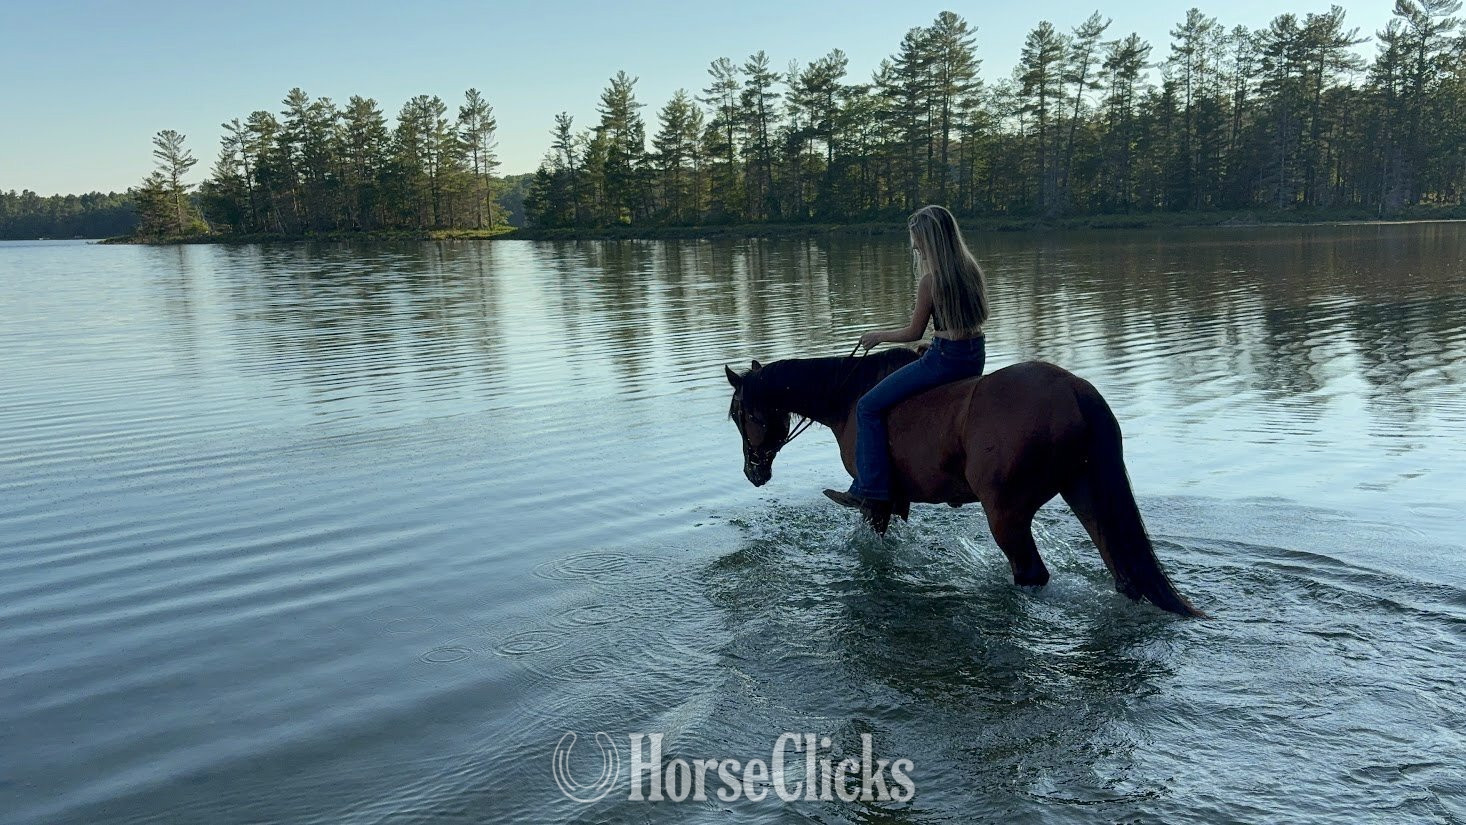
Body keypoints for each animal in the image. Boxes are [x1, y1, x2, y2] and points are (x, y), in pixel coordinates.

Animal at [724, 347, 1205, 617]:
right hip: (1087, 493)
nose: (752, 472)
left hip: (1007, 514)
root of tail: (1075, 390)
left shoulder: (874, 501)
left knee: (1032, 573)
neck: (847, 397)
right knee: (1123, 570)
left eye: (740, 414)